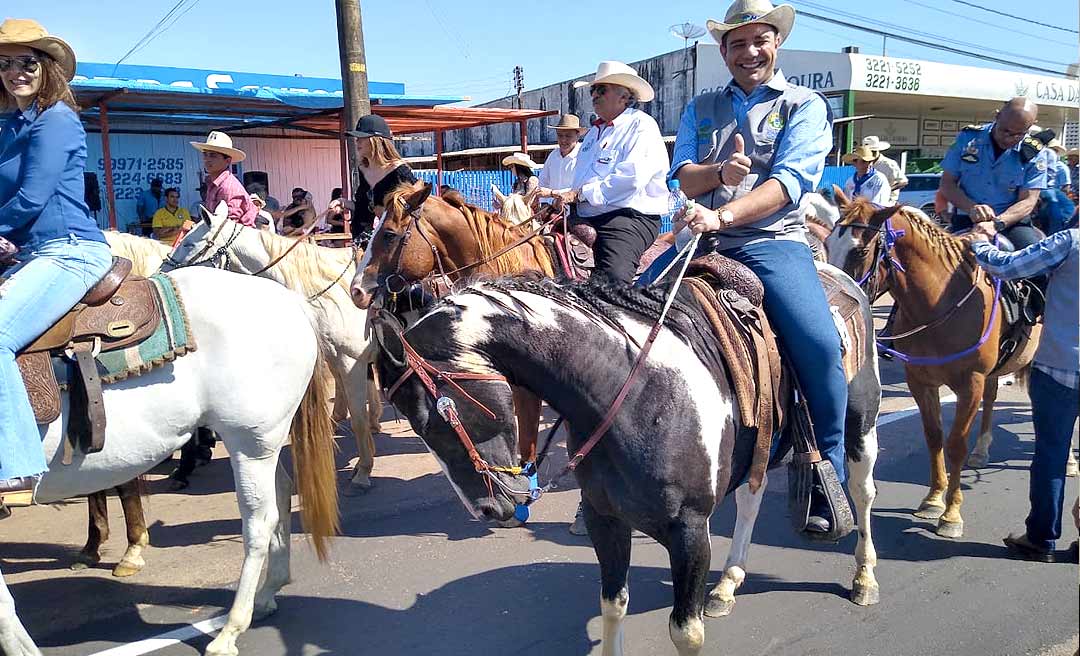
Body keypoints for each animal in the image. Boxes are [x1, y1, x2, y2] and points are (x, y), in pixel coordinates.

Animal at [0, 268, 336, 656]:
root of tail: (289, 300)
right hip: (263, 446)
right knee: (281, 494)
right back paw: (267, 594)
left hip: (250, 444)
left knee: (260, 522)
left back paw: (230, 630)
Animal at [164, 206, 384, 492]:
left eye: (189, 243)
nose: (161, 271)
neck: (335, 292)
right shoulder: (338, 359)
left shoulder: (351, 362)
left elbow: (358, 418)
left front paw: (363, 471)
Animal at [825, 191, 1036, 538]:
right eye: (828, 243)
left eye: (861, 250)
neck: (940, 302)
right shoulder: (920, 380)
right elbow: (934, 436)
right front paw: (934, 499)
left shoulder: (970, 383)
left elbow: (955, 444)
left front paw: (951, 514)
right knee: (992, 398)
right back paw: (982, 450)